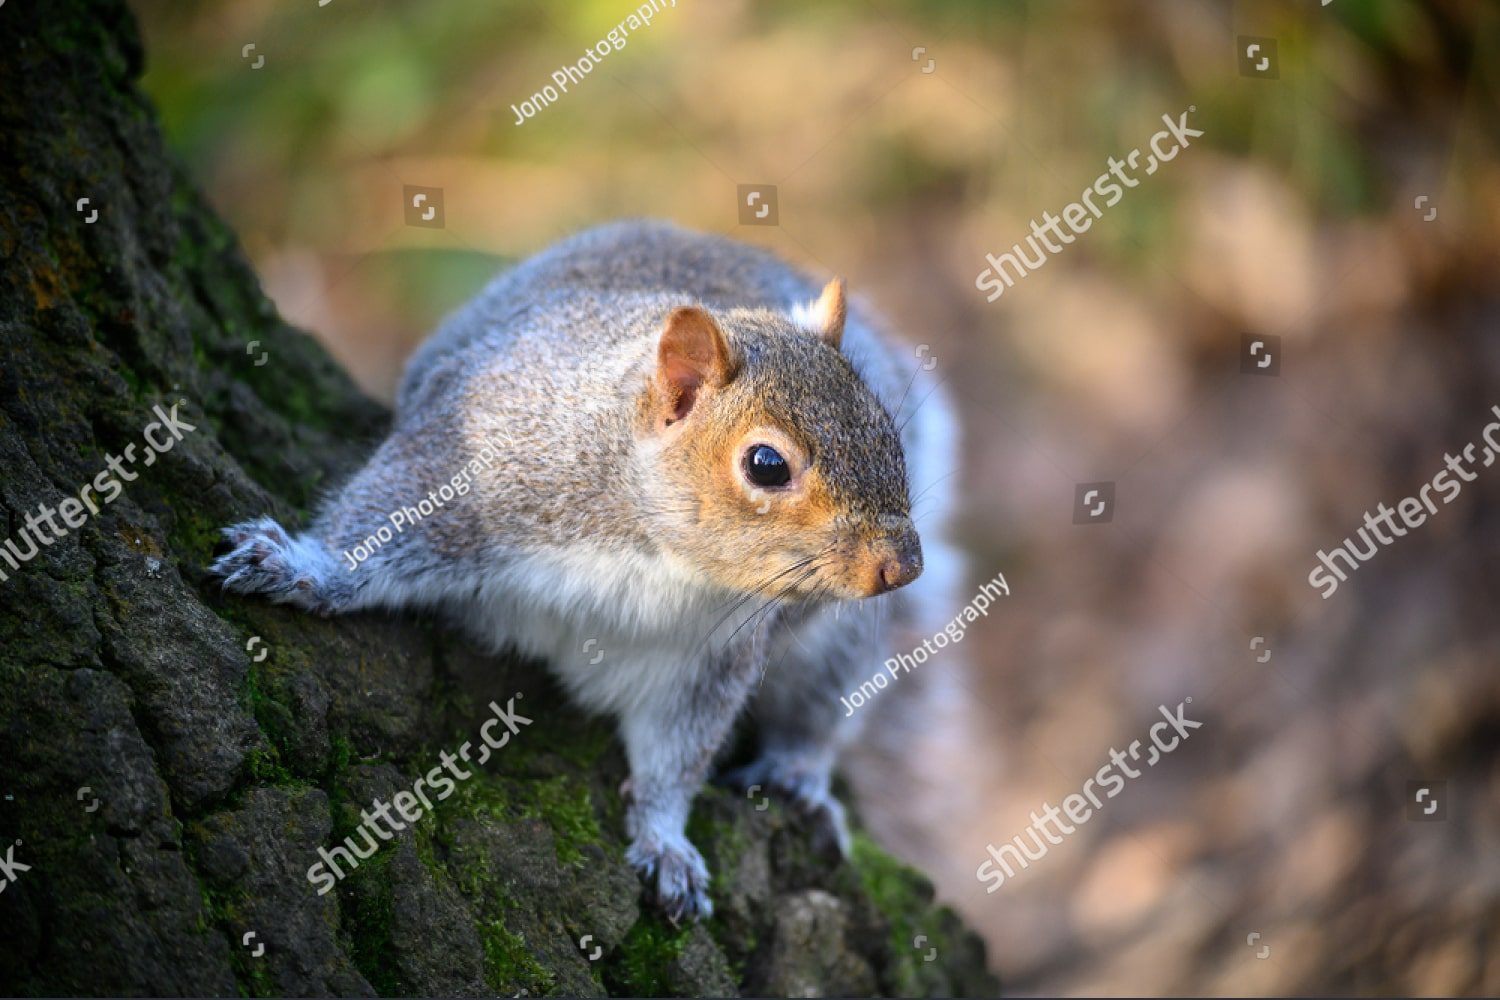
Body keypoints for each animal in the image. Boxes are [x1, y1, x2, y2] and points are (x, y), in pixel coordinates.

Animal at [211, 219, 964, 921]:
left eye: (889, 432)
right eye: (765, 464)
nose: (903, 566)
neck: (655, 552)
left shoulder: (706, 659)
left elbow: (676, 755)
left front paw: (666, 842)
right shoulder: (470, 465)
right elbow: (381, 521)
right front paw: (306, 567)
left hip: (838, 640)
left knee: (819, 709)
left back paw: (797, 773)